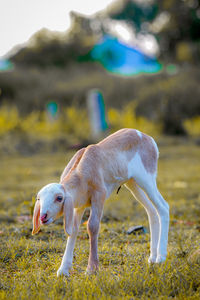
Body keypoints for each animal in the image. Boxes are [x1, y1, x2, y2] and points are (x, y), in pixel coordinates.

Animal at [32, 128, 170, 276]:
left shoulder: (99, 195)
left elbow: (92, 226)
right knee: (151, 211)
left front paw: (91, 269)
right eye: (39, 199)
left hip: (146, 178)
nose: (43, 216)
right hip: (132, 183)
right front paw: (63, 270)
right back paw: (152, 258)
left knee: (163, 207)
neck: (81, 172)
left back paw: (161, 257)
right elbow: (73, 230)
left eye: (59, 198)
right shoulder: (78, 206)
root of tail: (147, 137)